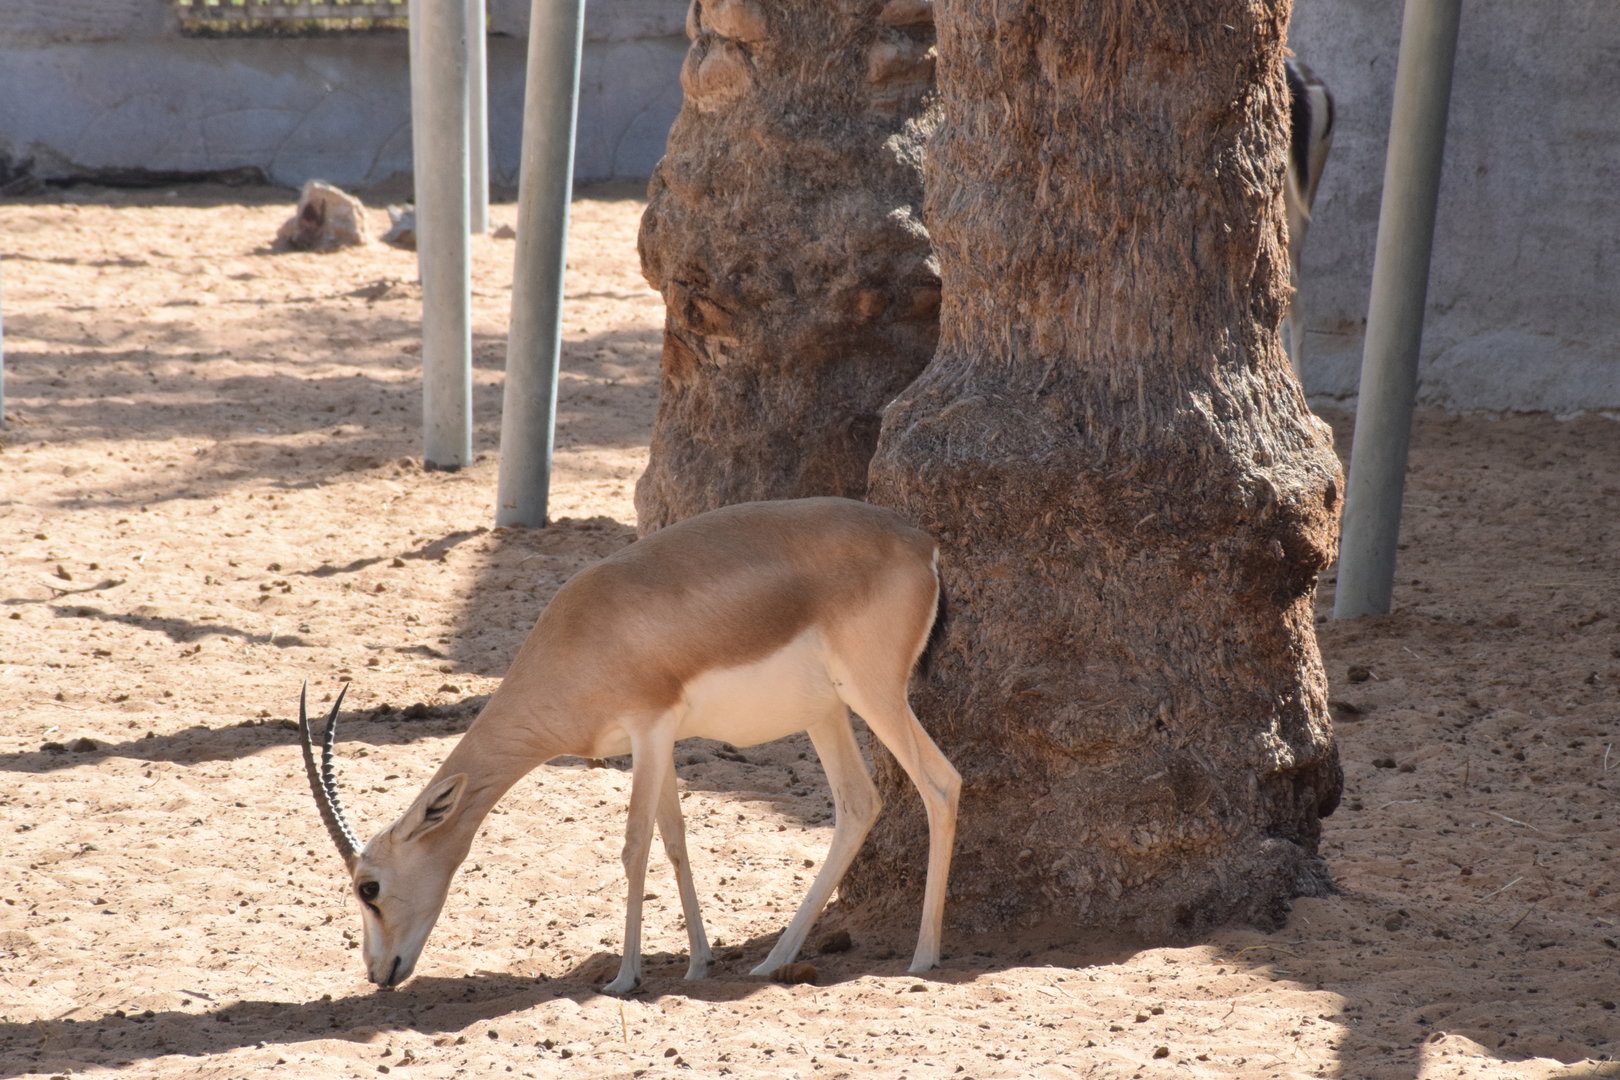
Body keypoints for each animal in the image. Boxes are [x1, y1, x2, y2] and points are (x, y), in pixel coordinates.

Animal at [298, 496, 961, 995]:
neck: (582, 636)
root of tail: (919, 542)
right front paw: (698, 964)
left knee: (940, 782)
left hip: (874, 694)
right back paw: (773, 961)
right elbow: (674, 838)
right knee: (858, 804)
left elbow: (635, 843)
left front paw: (624, 977)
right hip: (826, 712)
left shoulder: (649, 729)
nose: (379, 973)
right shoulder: (659, 742)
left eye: (368, 887)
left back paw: (923, 956)